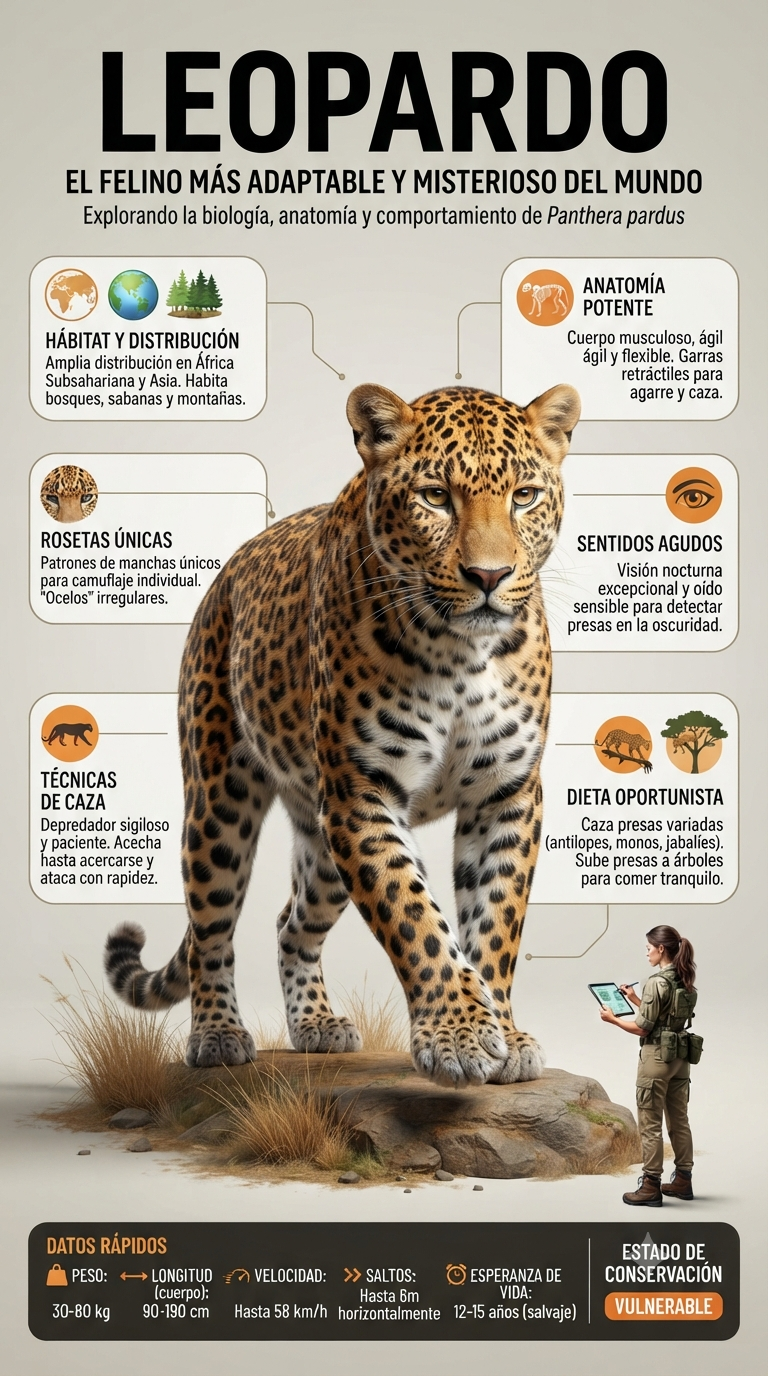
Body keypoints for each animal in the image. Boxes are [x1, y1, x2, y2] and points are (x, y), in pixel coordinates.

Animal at [105, 381, 580, 1089]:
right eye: (435, 496)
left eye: (523, 495)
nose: (489, 577)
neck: (463, 655)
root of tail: (228, 572)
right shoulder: (363, 797)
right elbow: (416, 917)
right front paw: (460, 1035)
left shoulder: (508, 793)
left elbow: (494, 923)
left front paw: (504, 1032)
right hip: (219, 804)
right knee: (210, 928)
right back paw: (218, 1034)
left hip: (322, 840)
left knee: (289, 923)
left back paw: (315, 1026)